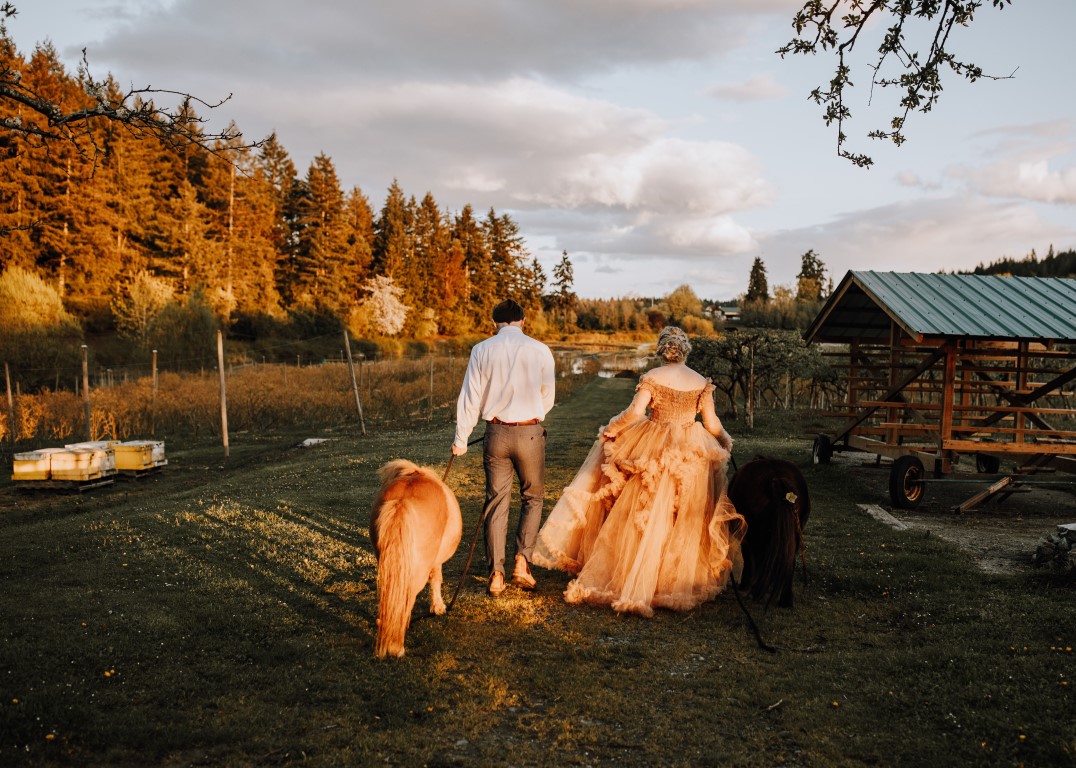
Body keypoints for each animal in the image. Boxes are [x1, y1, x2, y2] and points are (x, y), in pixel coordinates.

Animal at [727, 453, 809, 602]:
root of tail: (777, 478)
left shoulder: (747, 538)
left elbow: (750, 560)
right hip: (794, 534)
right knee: (789, 560)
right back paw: (785, 599)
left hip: (756, 534)